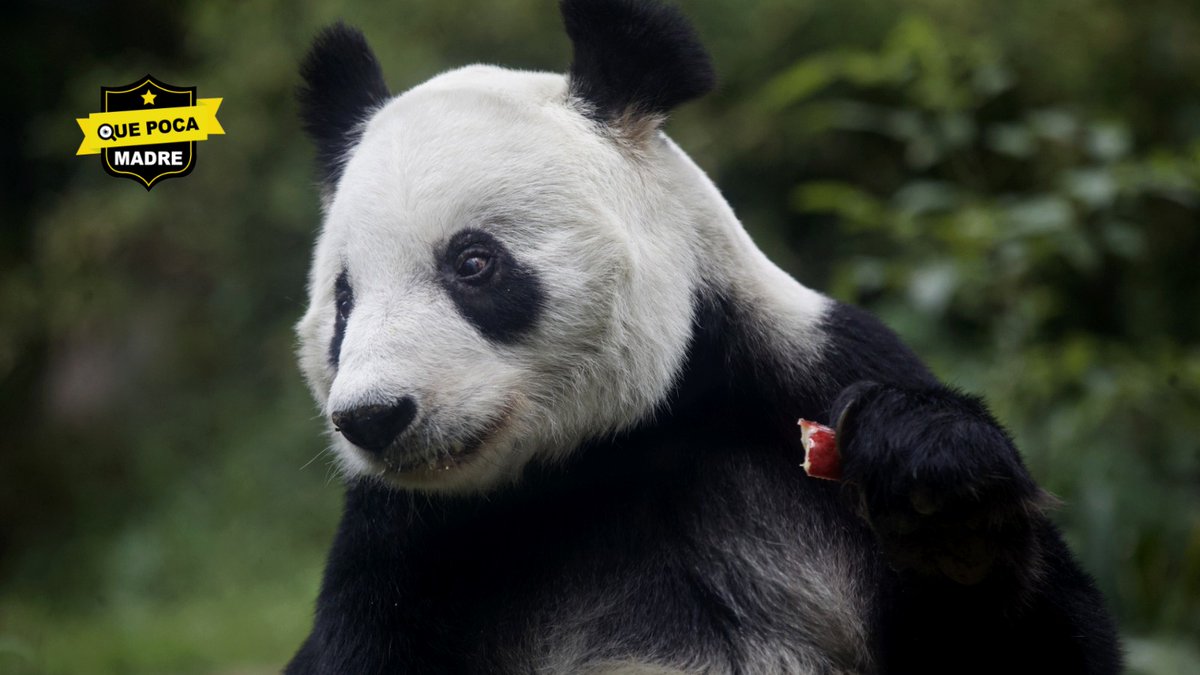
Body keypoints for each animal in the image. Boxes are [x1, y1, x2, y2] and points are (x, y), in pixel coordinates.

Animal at [287, 1, 1122, 673]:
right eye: (344, 299)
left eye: (472, 263)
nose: (374, 416)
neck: (617, 452)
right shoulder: (403, 553)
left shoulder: (801, 374)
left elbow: (1050, 633)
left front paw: (940, 498)